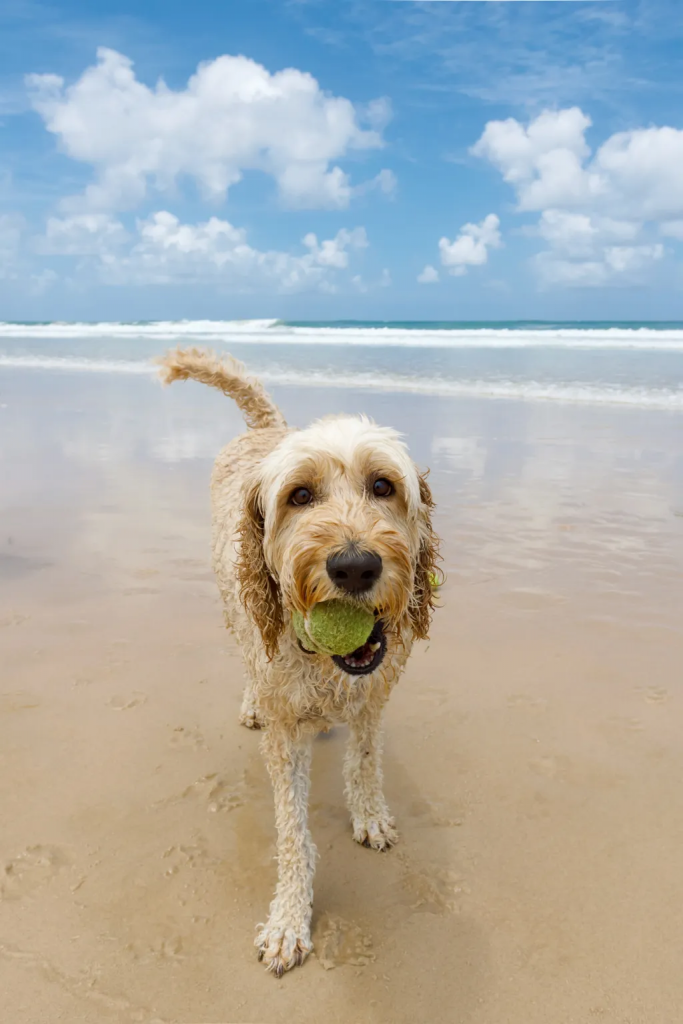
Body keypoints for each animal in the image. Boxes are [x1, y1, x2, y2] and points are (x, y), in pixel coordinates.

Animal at [157, 350, 440, 974]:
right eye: (300, 496)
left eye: (383, 485)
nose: (354, 566)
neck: (328, 669)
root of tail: (267, 428)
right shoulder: (286, 732)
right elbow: (292, 832)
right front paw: (289, 916)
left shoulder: (375, 696)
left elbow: (364, 761)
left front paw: (369, 812)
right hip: (231, 602)